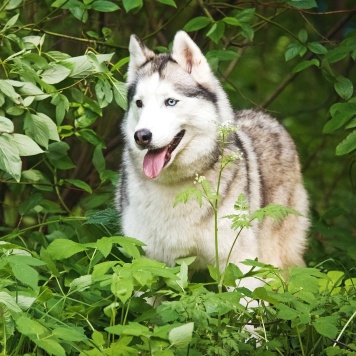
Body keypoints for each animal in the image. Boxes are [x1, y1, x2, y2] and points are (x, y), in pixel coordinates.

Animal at [117, 29, 308, 286]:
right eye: (139, 103)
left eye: (170, 102)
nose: (142, 136)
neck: (176, 186)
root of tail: (268, 117)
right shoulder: (149, 265)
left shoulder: (241, 265)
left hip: (272, 264)